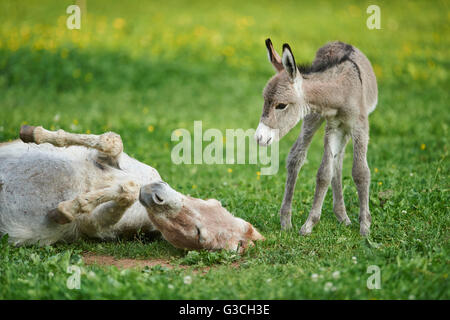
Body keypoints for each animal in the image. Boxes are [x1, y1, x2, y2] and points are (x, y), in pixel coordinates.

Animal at [255, 38, 378, 236]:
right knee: (298, 157)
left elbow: (360, 172)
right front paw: (309, 224)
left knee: (338, 162)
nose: (259, 138)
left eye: (281, 105)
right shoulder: (333, 127)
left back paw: (343, 216)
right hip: (314, 118)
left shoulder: (359, 127)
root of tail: (338, 41)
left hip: (342, 129)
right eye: (264, 101)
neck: (341, 91)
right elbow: (324, 174)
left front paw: (365, 227)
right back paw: (289, 220)